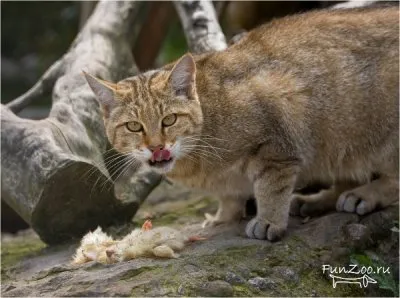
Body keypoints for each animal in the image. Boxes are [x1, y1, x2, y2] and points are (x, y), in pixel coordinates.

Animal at [83, 6, 398, 240]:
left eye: (169, 120)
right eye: (134, 126)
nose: (156, 147)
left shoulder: (277, 143)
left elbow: (270, 187)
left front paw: (269, 220)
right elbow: (228, 195)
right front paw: (222, 217)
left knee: (392, 180)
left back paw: (365, 194)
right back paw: (320, 199)